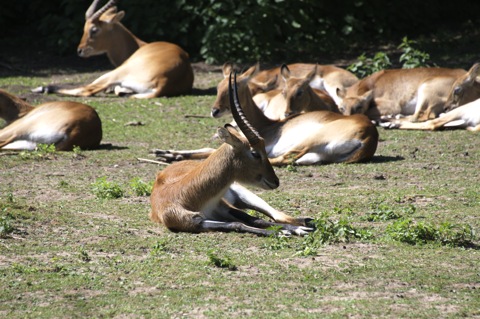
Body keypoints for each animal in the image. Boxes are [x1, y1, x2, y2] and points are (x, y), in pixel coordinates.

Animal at [31, 0, 194, 99]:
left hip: (116, 73)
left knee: (88, 90)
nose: (80, 50)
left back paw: (43, 88)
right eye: (84, 28)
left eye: (94, 29)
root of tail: (164, 81)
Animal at [150, 73, 316, 238]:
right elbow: (238, 224)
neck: (187, 194)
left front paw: (292, 230)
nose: (275, 181)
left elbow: (254, 219)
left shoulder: (224, 207)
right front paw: (281, 233)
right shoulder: (195, 222)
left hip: (242, 192)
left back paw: (304, 224)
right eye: (255, 153)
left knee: (277, 215)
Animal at [154, 64, 378, 166]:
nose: (215, 110)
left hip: (310, 140)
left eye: (231, 88)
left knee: (286, 158)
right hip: (315, 155)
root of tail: (370, 134)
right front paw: (164, 153)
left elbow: (212, 149)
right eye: (217, 87)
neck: (267, 124)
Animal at [336, 67, 466, 122]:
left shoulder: (393, 105)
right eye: (341, 108)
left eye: (359, 107)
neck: (372, 83)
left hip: (425, 88)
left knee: (419, 117)